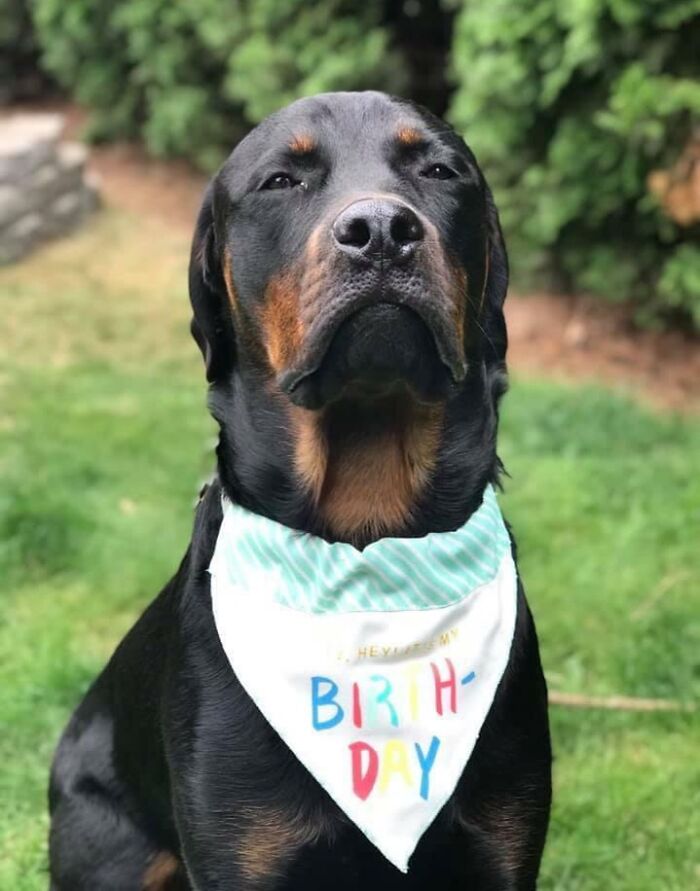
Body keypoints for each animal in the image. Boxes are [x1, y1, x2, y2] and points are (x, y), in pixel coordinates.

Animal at [49, 94, 552, 888]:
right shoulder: (241, 851)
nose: (381, 231)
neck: (368, 547)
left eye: (440, 171)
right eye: (281, 179)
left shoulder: (503, 844)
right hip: (109, 843)